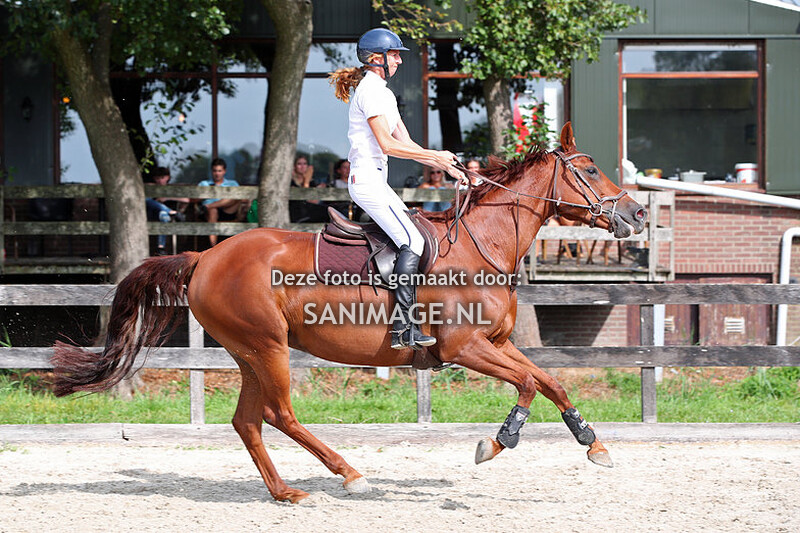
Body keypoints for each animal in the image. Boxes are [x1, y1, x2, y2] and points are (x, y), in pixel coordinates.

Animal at [52, 123, 648, 503]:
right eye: (592, 169)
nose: (638, 213)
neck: (484, 243)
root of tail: (206, 255)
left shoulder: (497, 344)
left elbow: (551, 382)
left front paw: (594, 444)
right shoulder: (466, 349)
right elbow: (526, 385)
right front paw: (496, 442)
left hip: (249, 352)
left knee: (248, 421)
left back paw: (287, 493)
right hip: (267, 347)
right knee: (279, 415)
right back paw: (350, 475)